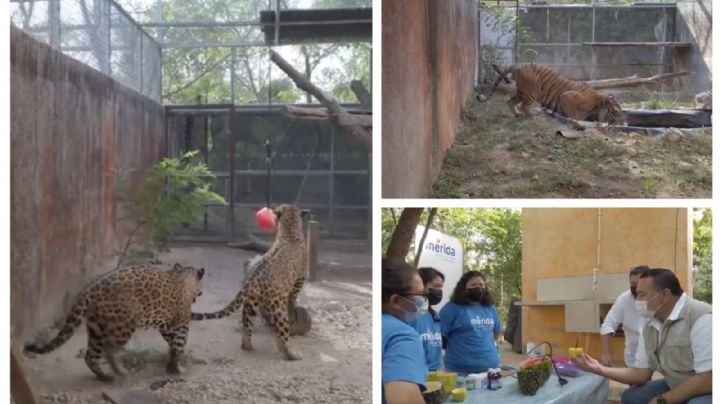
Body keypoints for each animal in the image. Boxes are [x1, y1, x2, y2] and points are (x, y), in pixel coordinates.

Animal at [496, 61, 624, 124]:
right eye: (617, 113)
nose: (623, 123)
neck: (597, 107)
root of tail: (518, 65)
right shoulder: (567, 96)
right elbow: (575, 116)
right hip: (531, 92)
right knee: (524, 106)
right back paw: (533, 115)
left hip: (521, 93)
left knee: (510, 101)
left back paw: (517, 114)